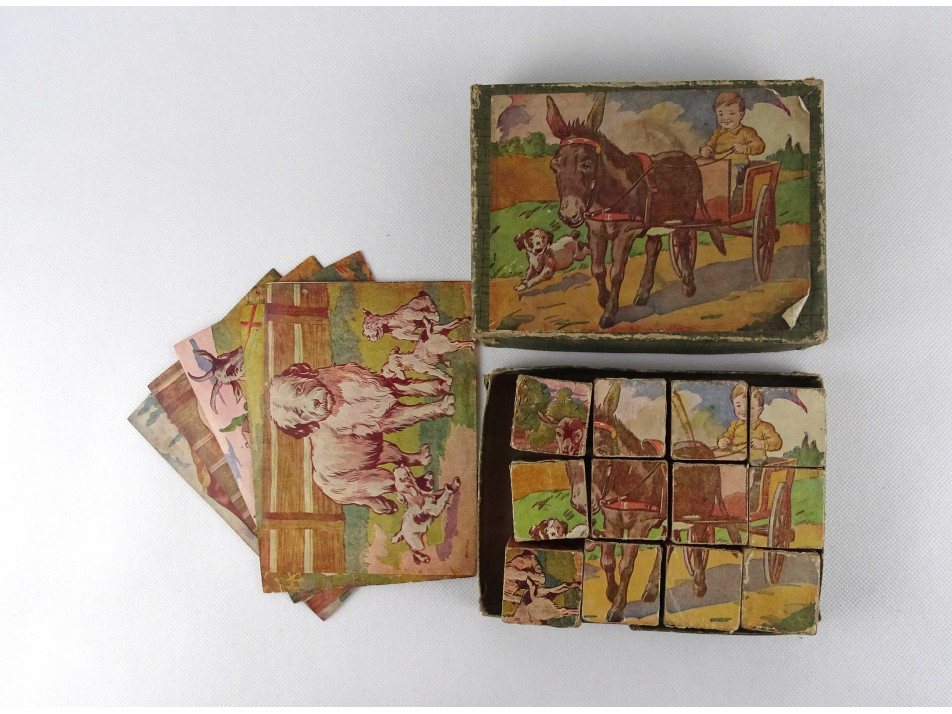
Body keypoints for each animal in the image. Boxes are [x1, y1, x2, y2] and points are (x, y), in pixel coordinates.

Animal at [545, 93, 708, 328]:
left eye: (586, 165)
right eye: (554, 167)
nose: (569, 214)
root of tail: (689, 159)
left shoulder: (625, 235)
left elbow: (616, 273)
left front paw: (609, 313)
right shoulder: (596, 232)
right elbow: (597, 269)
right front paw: (603, 300)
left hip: (683, 219)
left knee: (684, 244)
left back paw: (688, 285)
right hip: (655, 222)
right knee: (653, 249)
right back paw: (643, 293)